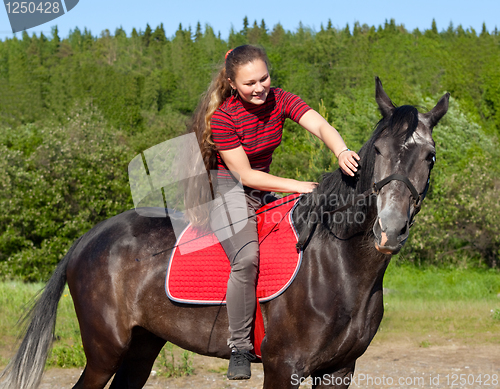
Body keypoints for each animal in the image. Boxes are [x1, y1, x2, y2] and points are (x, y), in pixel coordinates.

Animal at [0, 77, 450, 386]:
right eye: (379, 151)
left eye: (429, 156)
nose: (389, 229)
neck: (336, 266)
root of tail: (89, 239)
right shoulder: (283, 367)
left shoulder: (340, 370)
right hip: (103, 351)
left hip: (142, 345)